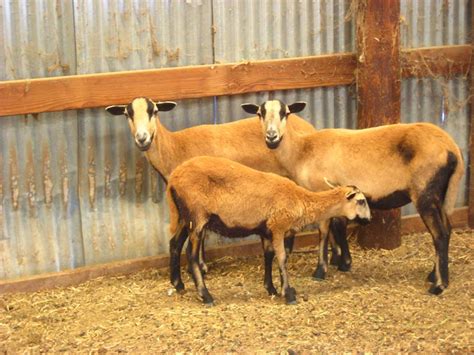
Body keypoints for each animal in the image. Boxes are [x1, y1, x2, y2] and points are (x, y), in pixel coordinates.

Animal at [105, 97, 320, 286]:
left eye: (154, 111)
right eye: (127, 114)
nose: (142, 139)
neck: (175, 147)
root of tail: (310, 127)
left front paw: (200, 266)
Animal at [167, 156, 370, 306]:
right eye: (361, 201)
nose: (368, 220)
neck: (302, 200)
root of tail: (173, 179)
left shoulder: (266, 230)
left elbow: (269, 256)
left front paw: (271, 288)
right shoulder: (278, 226)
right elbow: (282, 257)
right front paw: (288, 294)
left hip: (185, 216)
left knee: (174, 244)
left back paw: (178, 284)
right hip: (197, 217)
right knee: (191, 254)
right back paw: (205, 295)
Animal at [243, 98, 464, 296]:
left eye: (285, 113)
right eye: (260, 113)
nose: (272, 137)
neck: (302, 151)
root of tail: (452, 148)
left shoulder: (322, 190)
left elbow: (325, 229)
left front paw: (322, 270)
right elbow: (338, 226)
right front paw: (342, 262)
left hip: (425, 192)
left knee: (439, 234)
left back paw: (438, 286)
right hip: (440, 194)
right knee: (447, 230)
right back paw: (433, 275)